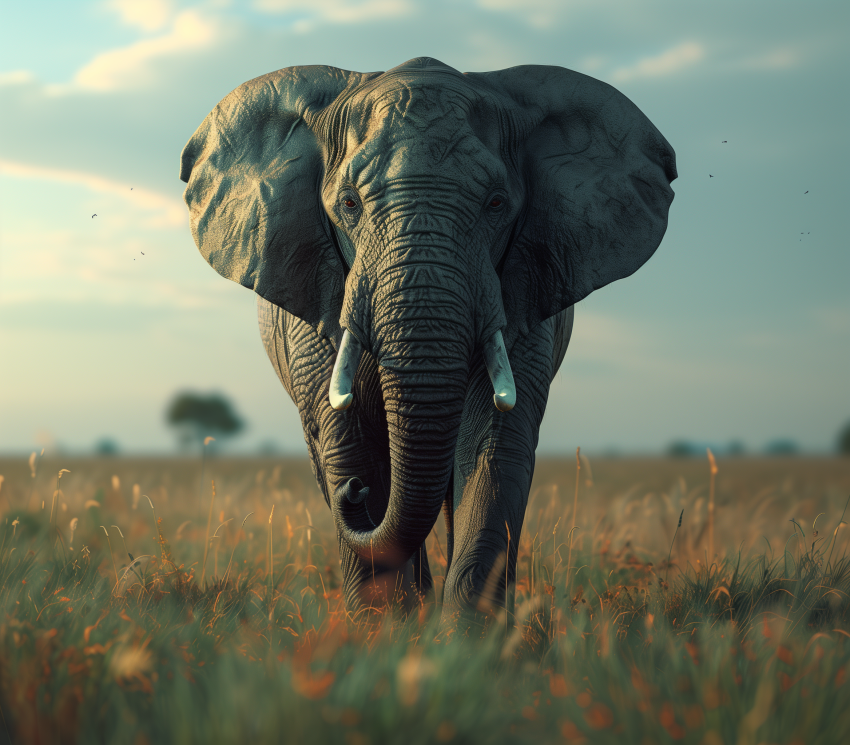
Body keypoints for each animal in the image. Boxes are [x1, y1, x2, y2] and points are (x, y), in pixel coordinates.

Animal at [179, 57, 676, 622]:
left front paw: (470, 638)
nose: (354, 495)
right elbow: (350, 440)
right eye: (349, 203)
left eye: (496, 203)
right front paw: (384, 630)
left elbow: (494, 446)